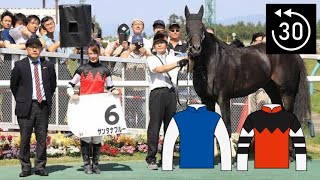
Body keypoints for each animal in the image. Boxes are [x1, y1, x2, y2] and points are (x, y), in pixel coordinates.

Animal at [185, 5, 310, 136]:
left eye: (201, 26)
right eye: (187, 27)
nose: (196, 48)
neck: (213, 62)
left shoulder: (223, 99)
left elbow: (227, 128)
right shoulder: (206, 99)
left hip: (287, 93)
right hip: (272, 89)